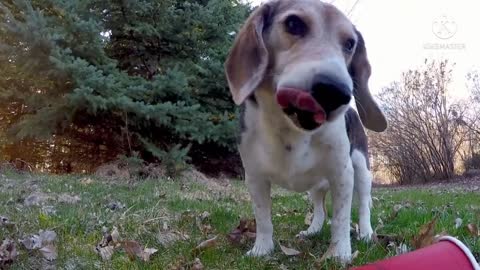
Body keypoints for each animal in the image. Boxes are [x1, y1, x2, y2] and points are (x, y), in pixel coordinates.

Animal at [224, 0, 386, 264]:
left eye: (350, 44)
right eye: (293, 24)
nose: (335, 92)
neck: (289, 129)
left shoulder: (343, 173)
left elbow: (341, 219)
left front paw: (340, 253)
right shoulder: (255, 176)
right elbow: (263, 218)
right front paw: (262, 249)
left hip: (362, 169)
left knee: (363, 205)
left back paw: (366, 233)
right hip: (316, 187)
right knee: (320, 209)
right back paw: (313, 230)